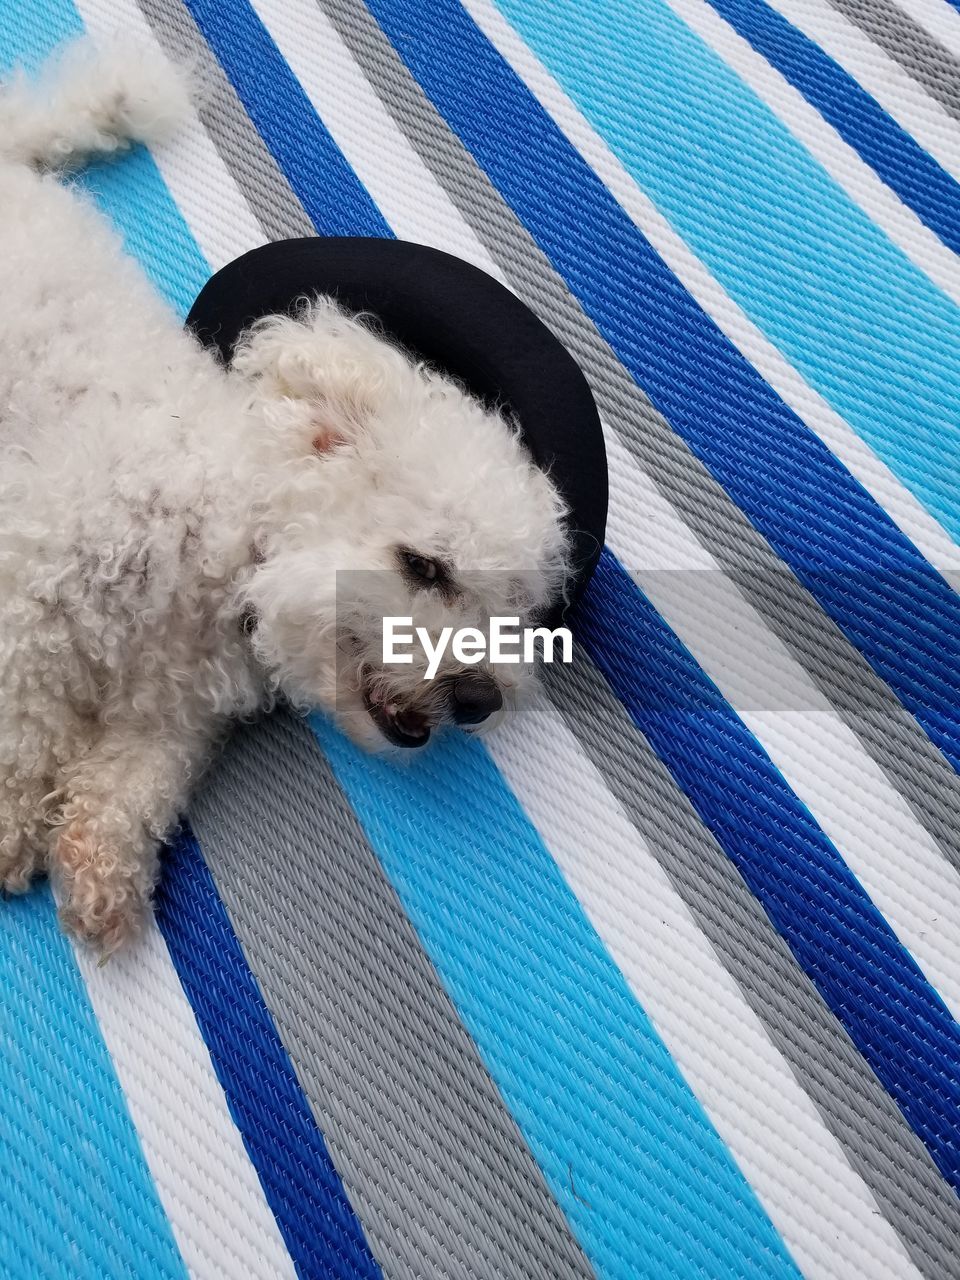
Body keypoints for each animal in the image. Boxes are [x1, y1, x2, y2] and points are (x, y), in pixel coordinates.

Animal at [0, 42, 570, 952]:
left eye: (511, 605)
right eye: (424, 565)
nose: (481, 700)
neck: (227, 554)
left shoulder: (173, 715)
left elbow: (132, 782)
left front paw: (100, 870)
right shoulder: (30, 597)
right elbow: (22, 729)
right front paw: (13, 821)